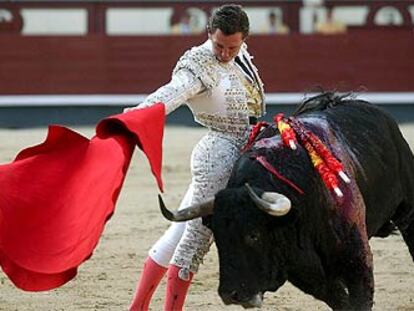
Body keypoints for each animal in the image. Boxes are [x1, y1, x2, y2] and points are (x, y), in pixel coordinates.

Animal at [158, 94, 414, 310]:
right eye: (218, 236)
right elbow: (341, 302)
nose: (231, 294)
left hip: (408, 209)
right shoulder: (308, 275)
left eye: (253, 235)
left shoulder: (357, 262)